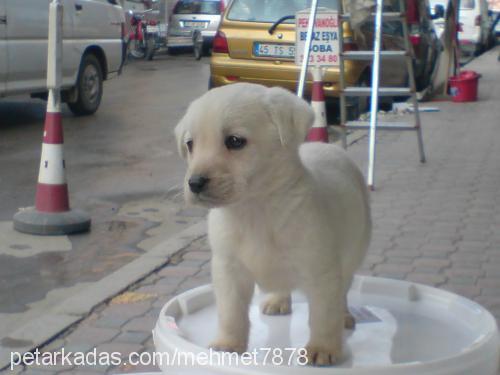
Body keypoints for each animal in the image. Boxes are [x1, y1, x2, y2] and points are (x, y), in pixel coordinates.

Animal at [176, 83, 372, 368]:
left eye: (235, 141)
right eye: (190, 144)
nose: (195, 183)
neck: (255, 208)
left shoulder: (321, 271)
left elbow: (324, 314)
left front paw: (322, 348)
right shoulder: (228, 269)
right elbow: (230, 312)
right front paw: (228, 344)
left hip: (351, 255)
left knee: (342, 293)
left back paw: (344, 316)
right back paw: (277, 300)